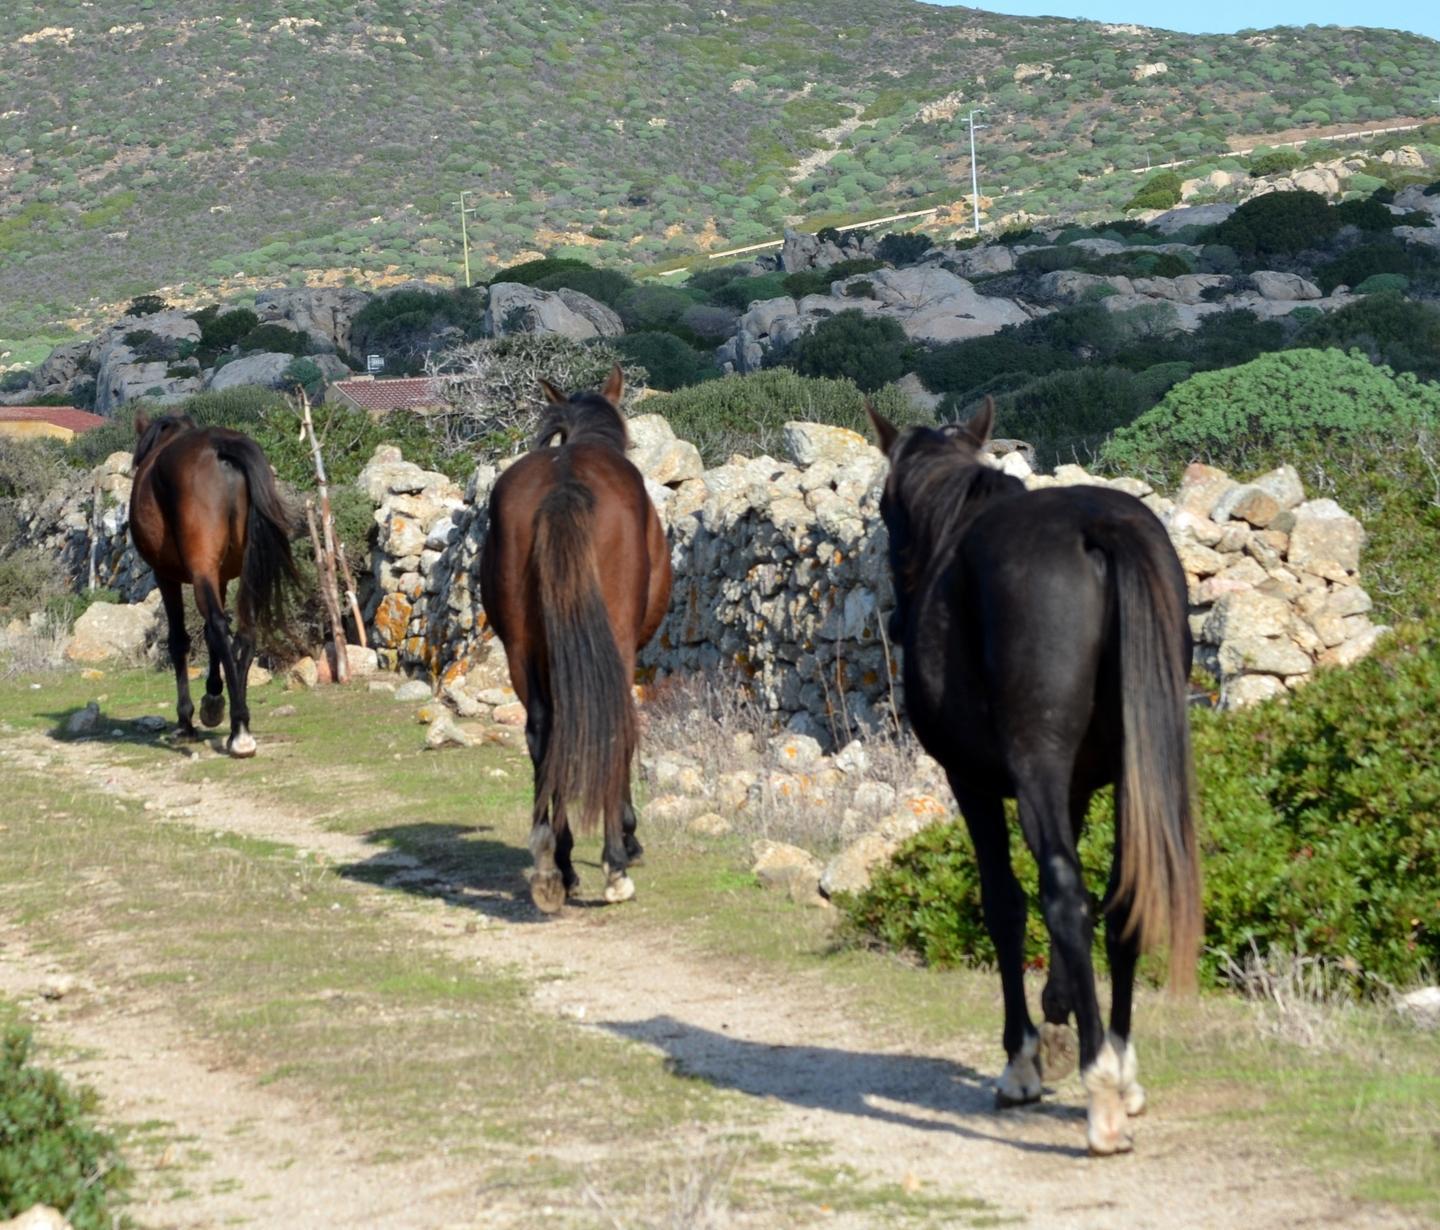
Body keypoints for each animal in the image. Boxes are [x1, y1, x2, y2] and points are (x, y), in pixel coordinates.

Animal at [129, 410, 299, 758]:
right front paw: (213, 696)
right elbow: (209, 636)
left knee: (220, 627)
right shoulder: (219, 577)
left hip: (199, 569)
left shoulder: (165, 575)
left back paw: (239, 731)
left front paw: (187, 719)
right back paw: (240, 722)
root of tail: (222, 448)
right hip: (242, 572)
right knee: (244, 632)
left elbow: (180, 640)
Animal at [478, 366, 672, 914]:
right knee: (612, 724)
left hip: (522, 648)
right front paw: (627, 837)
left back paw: (554, 865)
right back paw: (613, 864)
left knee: (543, 731)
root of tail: (562, 487)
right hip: (614, 641)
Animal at [868, 398, 1202, 1156]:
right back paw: (1119, 1067)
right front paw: (1060, 1008)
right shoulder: (1074, 787)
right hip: (1130, 774)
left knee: (1064, 897)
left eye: (882, 507)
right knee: (1121, 900)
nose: (897, 618)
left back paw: (1100, 1094)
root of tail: (1096, 527)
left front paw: (1022, 1059)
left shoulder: (972, 782)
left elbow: (1005, 905)